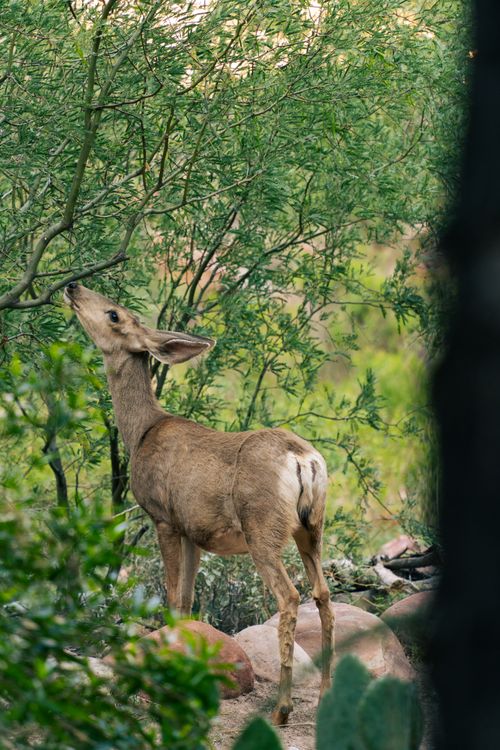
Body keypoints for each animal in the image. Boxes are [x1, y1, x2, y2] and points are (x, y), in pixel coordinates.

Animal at [64, 281, 334, 725]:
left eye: (114, 314)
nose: (73, 286)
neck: (141, 432)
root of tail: (303, 460)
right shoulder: (194, 530)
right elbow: (188, 601)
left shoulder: (164, 517)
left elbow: (173, 599)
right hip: (311, 526)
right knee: (323, 593)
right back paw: (327, 693)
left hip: (262, 527)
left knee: (290, 596)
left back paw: (281, 709)